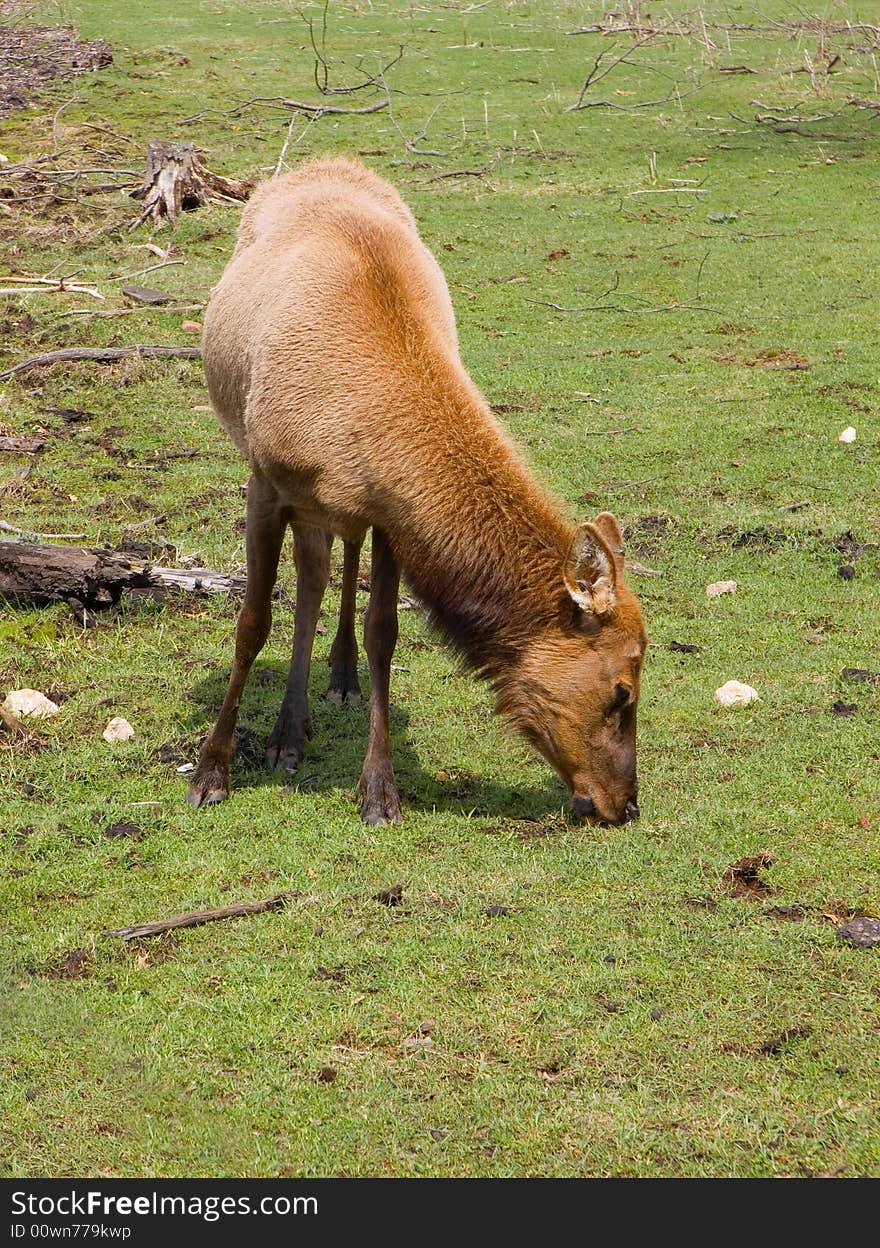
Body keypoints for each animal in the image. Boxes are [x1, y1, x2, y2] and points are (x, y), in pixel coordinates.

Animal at [188, 156, 644, 828]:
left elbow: (384, 634)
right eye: (622, 691)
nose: (626, 803)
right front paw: (211, 771)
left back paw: (332, 685)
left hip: (340, 513)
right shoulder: (266, 483)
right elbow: (252, 623)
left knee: (328, 572)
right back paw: (288, 734)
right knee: (311, 581)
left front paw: (379, 789)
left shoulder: (389, 516)